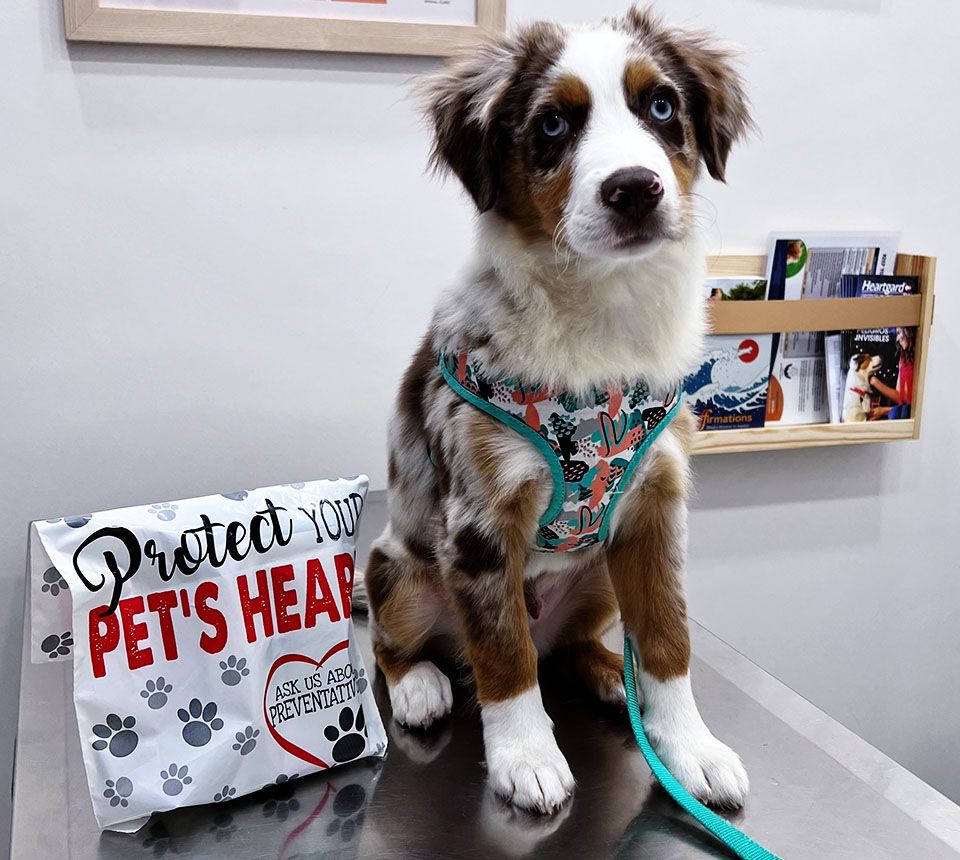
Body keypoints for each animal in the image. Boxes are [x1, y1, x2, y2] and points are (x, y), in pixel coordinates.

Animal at [364, 5, 752, 812]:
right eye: (552, 124)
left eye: (660, 106)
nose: (635, 189)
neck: (602, 314)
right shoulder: (479, 524)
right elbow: (503, 654)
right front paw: (526, 757)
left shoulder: (657, 508)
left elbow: (667, 638)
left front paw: (689, 747)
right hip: (401, 573)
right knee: (406, 645)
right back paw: (419, 687)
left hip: (600, 574)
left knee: (572, 646)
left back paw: (608, 675)